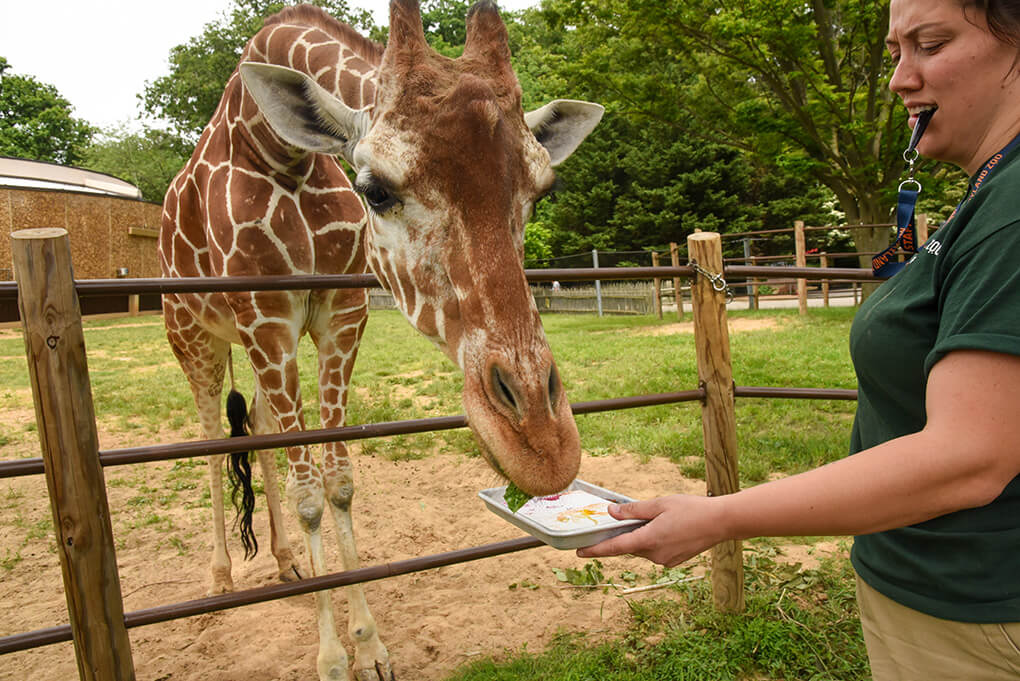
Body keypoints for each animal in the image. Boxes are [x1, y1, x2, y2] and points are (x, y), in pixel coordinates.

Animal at [162, 2, 599, 676]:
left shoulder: (340, 318)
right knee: (212, 436)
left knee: (256, 427)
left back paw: (285, 562)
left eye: (540, 192)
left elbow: (339, 483)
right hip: (193, 336)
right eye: (375, 190)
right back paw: (219, 578)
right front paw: (331, 659)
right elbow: (310, 493)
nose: (542, 448)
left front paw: (368, 647)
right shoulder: (267, 319)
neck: (275, 150)